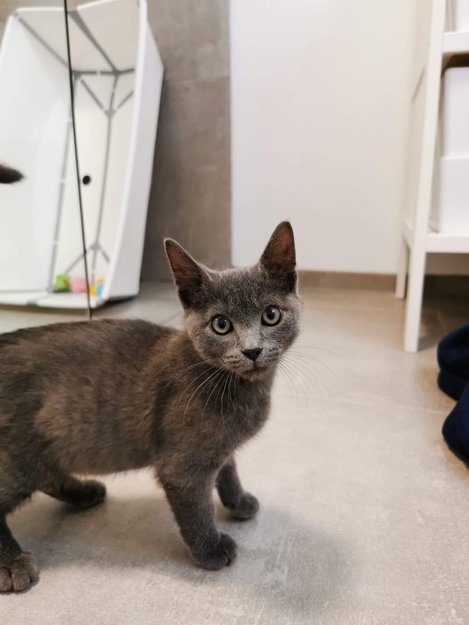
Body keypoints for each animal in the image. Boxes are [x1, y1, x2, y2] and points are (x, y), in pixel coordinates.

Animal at [0, 221, 300, 593]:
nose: (252, 351)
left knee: (47, 474)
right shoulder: (182, 466)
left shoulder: (219, 446)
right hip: (18, 454)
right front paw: (210, 550)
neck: (239, 386)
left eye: (271, 315)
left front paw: (238, 501)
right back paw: (13, 563)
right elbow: (197, 510)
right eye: (221, 324)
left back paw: (84, 492)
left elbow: (228, 469)